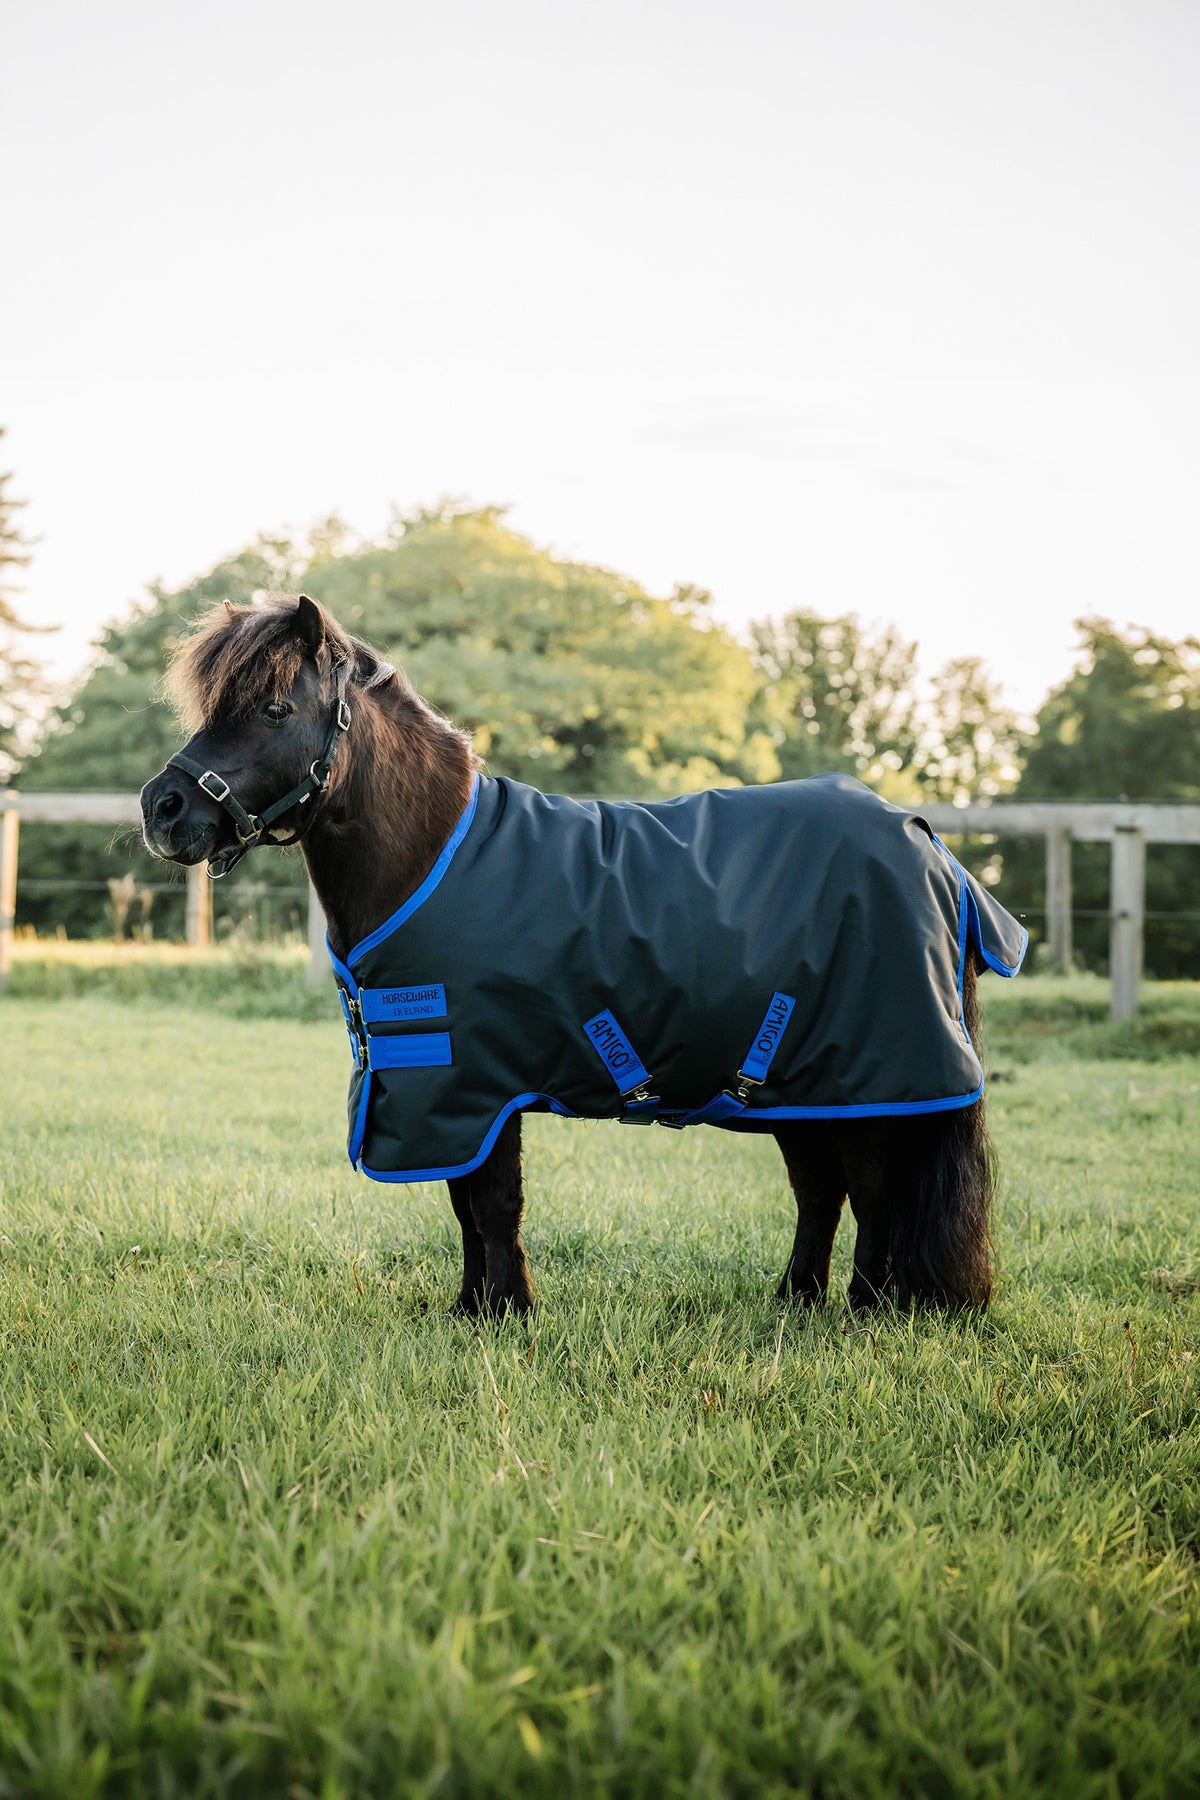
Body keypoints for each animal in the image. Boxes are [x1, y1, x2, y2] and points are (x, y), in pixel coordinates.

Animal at [141, 593, 1022, 1318]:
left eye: (274, 706)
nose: (163, 808)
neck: (433, 858)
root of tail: (925, 841)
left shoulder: (478, 1083)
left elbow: (494, 1202)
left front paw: (508, 1310)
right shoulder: (450, 1093)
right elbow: (466, 1203)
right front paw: (471, 1307)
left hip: (866, 1079)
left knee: (871, 1192)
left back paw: (865, 1308)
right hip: (797, 1083)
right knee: (821, 1190)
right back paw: (795, 1300)